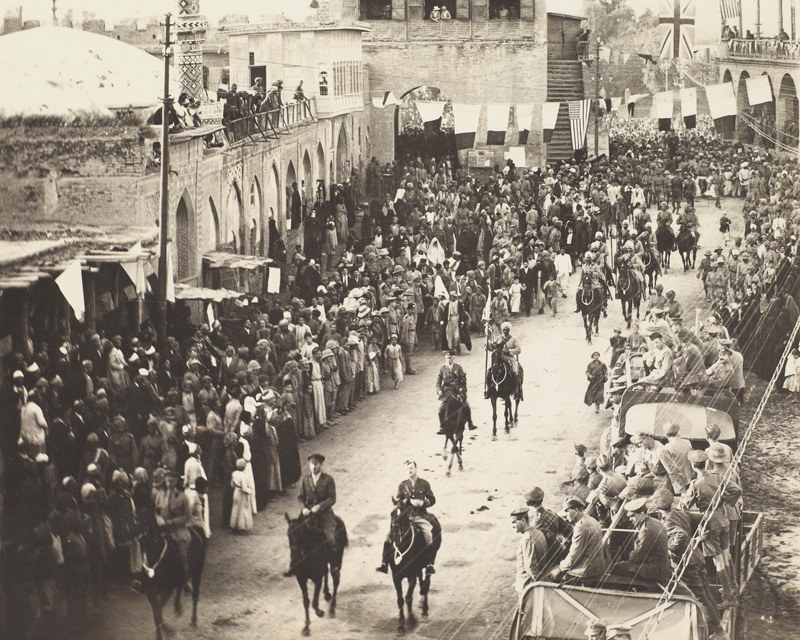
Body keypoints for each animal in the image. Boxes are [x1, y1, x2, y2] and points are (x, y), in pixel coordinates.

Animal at [386, 500, 440, 636]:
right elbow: (400, 599)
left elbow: (408, 597)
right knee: (422, 583)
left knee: (426, 584)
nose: (394, 533)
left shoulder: (411, 576)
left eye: (404, 514)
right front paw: (400, 626)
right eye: (392, 513)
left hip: (430, 562)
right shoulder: (396, 577)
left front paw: (411, 621)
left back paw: (424, 612)